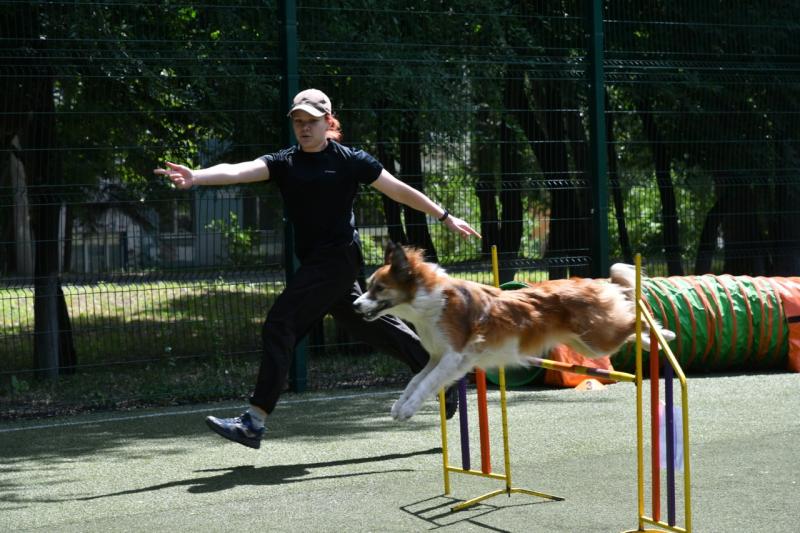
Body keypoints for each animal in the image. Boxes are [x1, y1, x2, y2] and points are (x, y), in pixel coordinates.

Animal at [354, 242, 672, 420]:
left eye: (378, 288)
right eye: (369, 286)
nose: (355, 304)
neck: (426, 301)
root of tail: (595, 282)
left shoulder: (454, 356)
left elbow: (426, 384)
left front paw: (408, 410)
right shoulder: (437, 357)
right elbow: (415, 381)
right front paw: (399, 406)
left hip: (597, 340)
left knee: (635, 318)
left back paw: (664, 334)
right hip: (585, 345)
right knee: (630, 324)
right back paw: (651, 342)